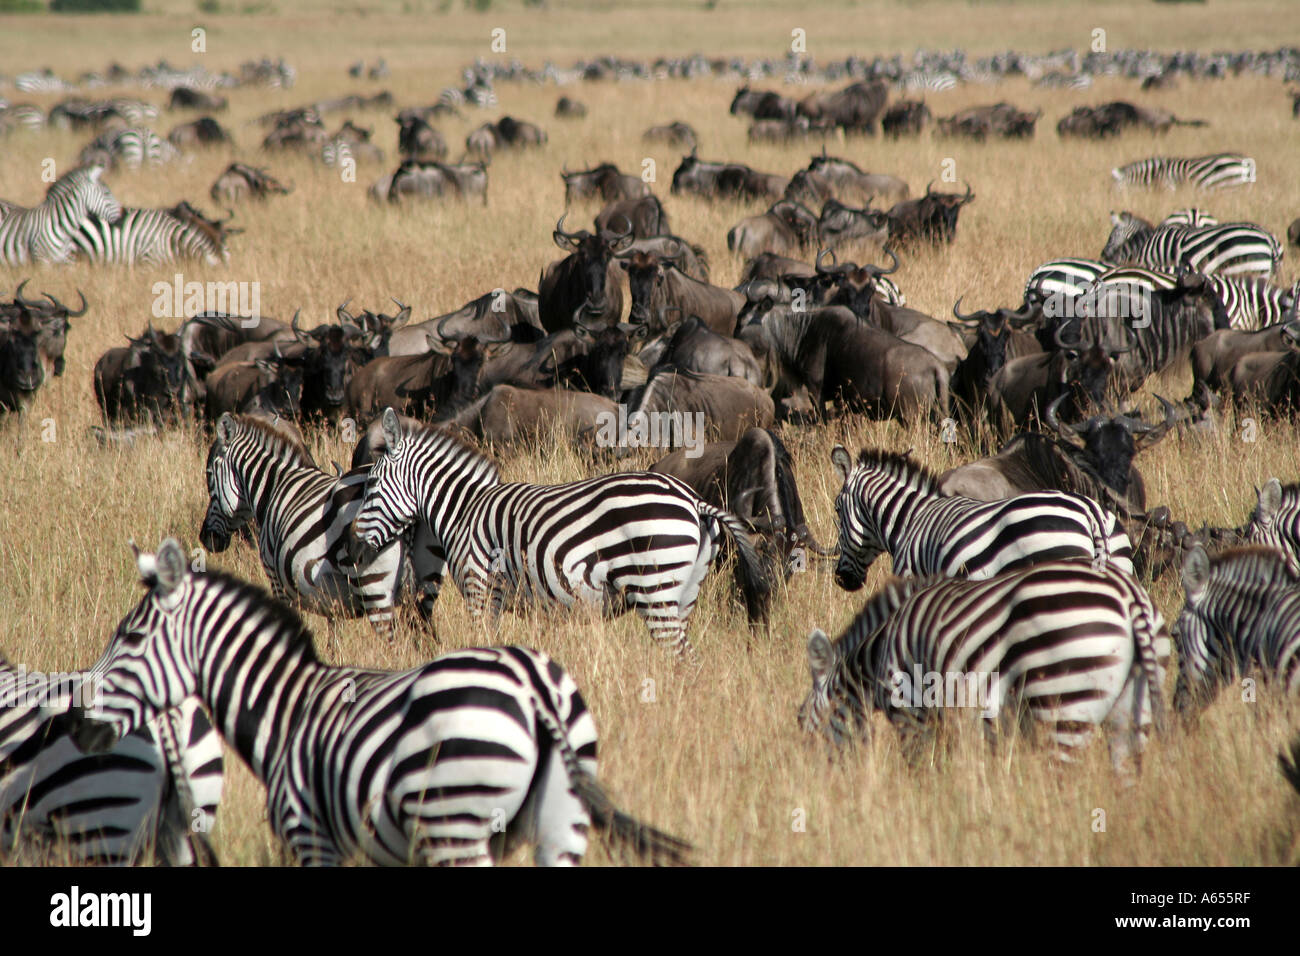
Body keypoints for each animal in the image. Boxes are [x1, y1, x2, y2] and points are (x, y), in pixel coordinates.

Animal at [73, 539, 691, 867]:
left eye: (130, 637)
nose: (78, 724)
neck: (285, 712)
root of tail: (534, 686)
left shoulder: (312, 836)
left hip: (457, 820)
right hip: (562, 820)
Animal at [200, 413, 440, 638]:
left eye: (209, 474)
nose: (206, 539)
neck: (276, 485)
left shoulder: (276, 579)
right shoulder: (333, 598)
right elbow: (334, 634)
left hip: (374, 585)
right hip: (426, 587)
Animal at [350, 408, 771, 659]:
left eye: (370, 485)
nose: (353, 540)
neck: (464, 509)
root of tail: (693, 500)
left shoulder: (479, 587)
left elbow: (485, 643)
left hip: (655, 587)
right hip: (684, 593)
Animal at [799, 560, 1169, 770]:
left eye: (800, 720)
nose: (812, 782)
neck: (878, 653)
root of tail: (1129, 595)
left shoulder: (912, 712)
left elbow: (924, 774)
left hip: (1065, 703)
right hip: (1132, 709)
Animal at [1101, 211, 1282, 279]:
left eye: (1111, 236)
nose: (1103, 255)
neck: (1144, 245)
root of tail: (1268, 239)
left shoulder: (1155, 263)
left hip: (1244, 268)